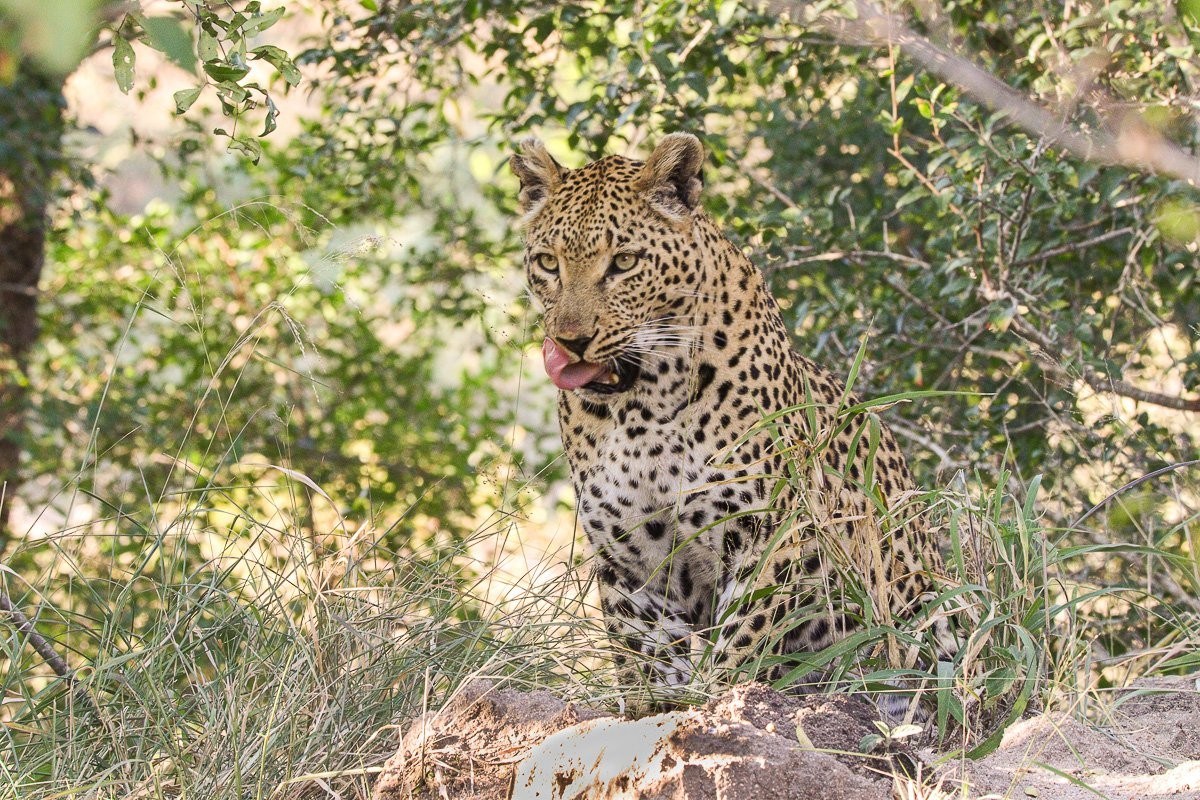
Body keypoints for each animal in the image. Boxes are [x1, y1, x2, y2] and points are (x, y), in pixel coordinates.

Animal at [510, 132, 950, 709]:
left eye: (624, 261)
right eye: (547, 262)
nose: (570, 341)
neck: (641, 410)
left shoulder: (769, 534)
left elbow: (740, 645)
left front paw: (720, 707)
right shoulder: (629, 560)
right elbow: (647, 662)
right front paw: (661, 712)